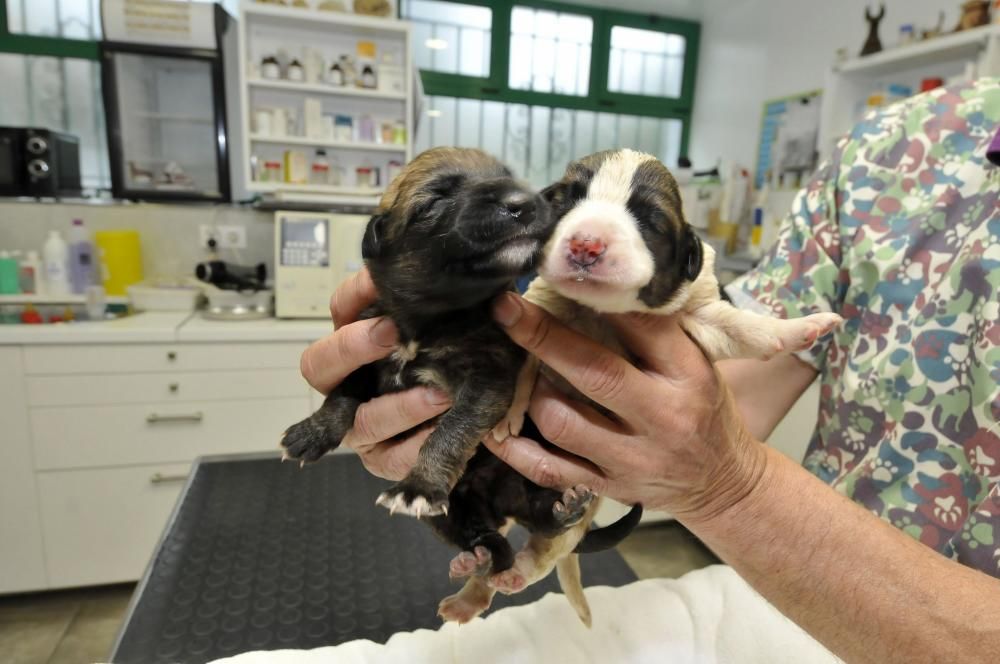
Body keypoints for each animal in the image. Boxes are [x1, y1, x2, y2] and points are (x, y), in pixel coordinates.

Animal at [488, 152, 840, 596]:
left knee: (554, 545)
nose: (586, 243)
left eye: (650, 220)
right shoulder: (538, 307)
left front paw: (803, 327)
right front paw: (507, 414)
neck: (600, 313)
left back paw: (514, 571)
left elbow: (743, 327)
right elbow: (521, 363)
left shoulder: (701, 313)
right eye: (566, 202)